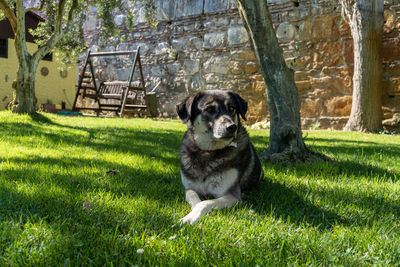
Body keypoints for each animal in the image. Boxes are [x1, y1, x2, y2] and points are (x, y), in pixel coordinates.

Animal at [177, 90, 264, 224]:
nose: (232, 127)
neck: (208, 152)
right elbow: (193, 197)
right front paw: (192, 213)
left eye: (232, 108)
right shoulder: (189, 188)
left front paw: (191, 216)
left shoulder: (232, 195)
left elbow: (204, 203)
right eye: (210, 109)